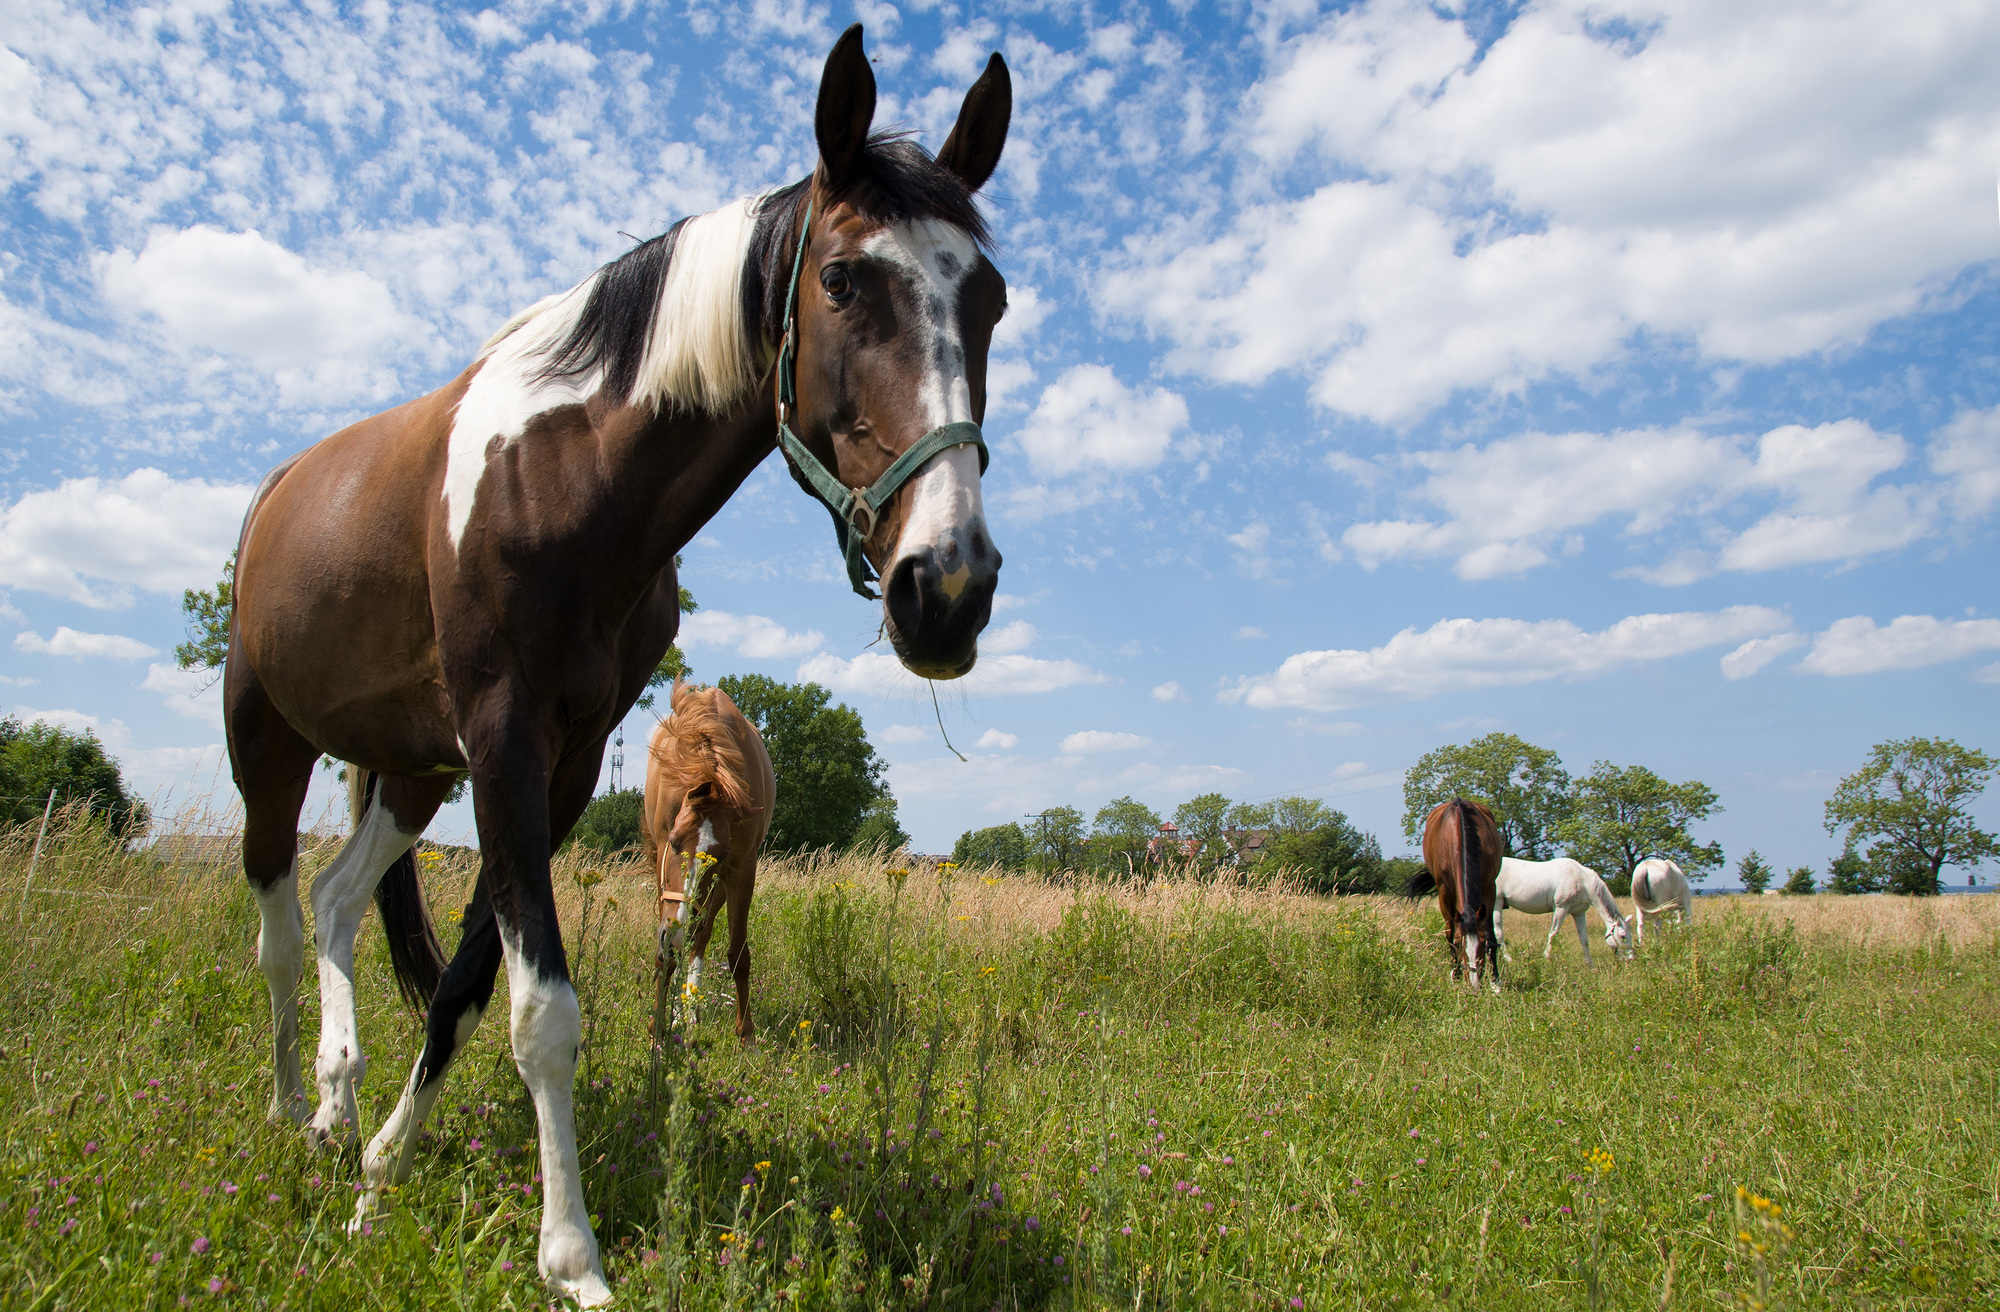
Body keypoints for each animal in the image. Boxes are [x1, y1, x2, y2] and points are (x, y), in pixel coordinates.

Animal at [641, 681, 774, 1042]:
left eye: (722, 853)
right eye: (674, 842)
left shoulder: (740, 870)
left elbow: (738, 952)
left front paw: (746, 1035)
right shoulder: (663, 862)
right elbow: (666, 953)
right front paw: (657, 1028)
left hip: (717, 888)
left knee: (700, 935)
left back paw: (690, 1012)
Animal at [1404, 798, 1502, 991]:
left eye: (1481, 942)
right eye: (1458, 943)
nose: (1473, 985)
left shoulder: (1490, 887)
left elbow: (1491, 934)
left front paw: (1495, 982)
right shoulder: (1444, 891)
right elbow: (1449, 932)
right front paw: (1454, 976)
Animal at [1493, 856, 1631, 964]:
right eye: (1622, 936)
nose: (1631, 958)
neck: (1581, 879)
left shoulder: (1579, 912)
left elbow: (1584, 940)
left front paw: (1590, 966)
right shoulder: (1561, 908)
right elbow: (1553, 934)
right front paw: (1546, 958)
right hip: (1497, 903)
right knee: (1499, 932)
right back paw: (1508, 958)